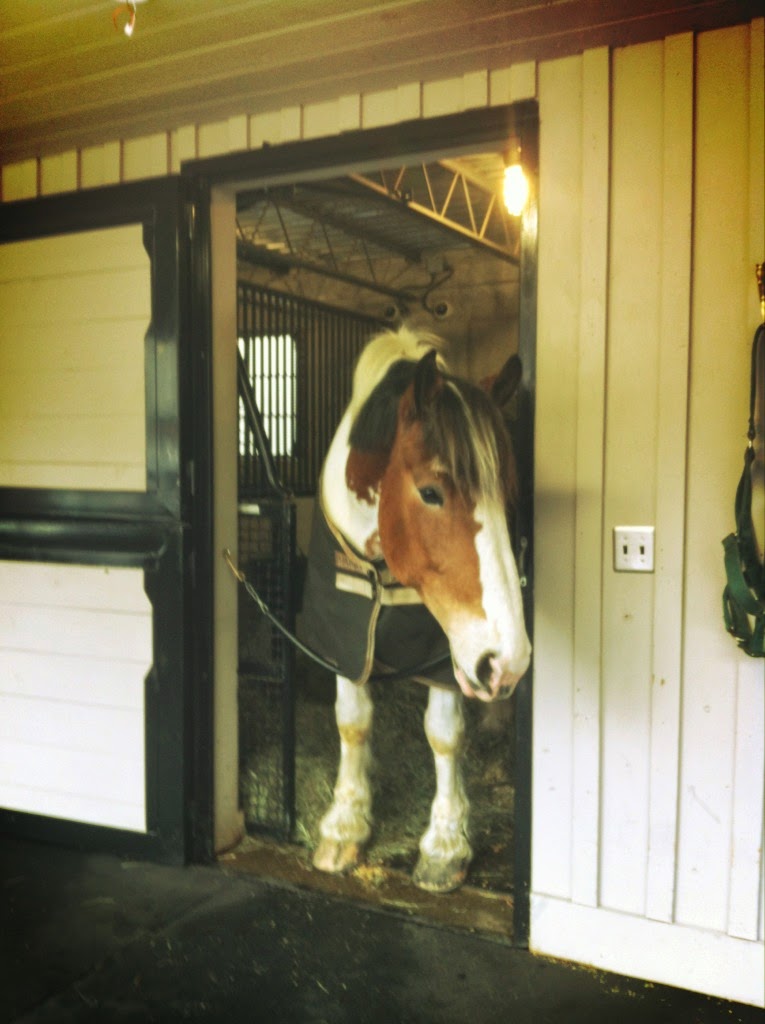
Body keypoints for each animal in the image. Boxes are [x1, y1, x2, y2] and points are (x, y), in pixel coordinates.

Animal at [299, 326, 532, 893]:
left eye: (509, 496)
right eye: (430, 491)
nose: (507, 661)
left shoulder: (446, 651)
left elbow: (444, 737)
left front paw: (444, 845)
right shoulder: (344, 637)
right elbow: (352, 722)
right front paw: (344, 825)